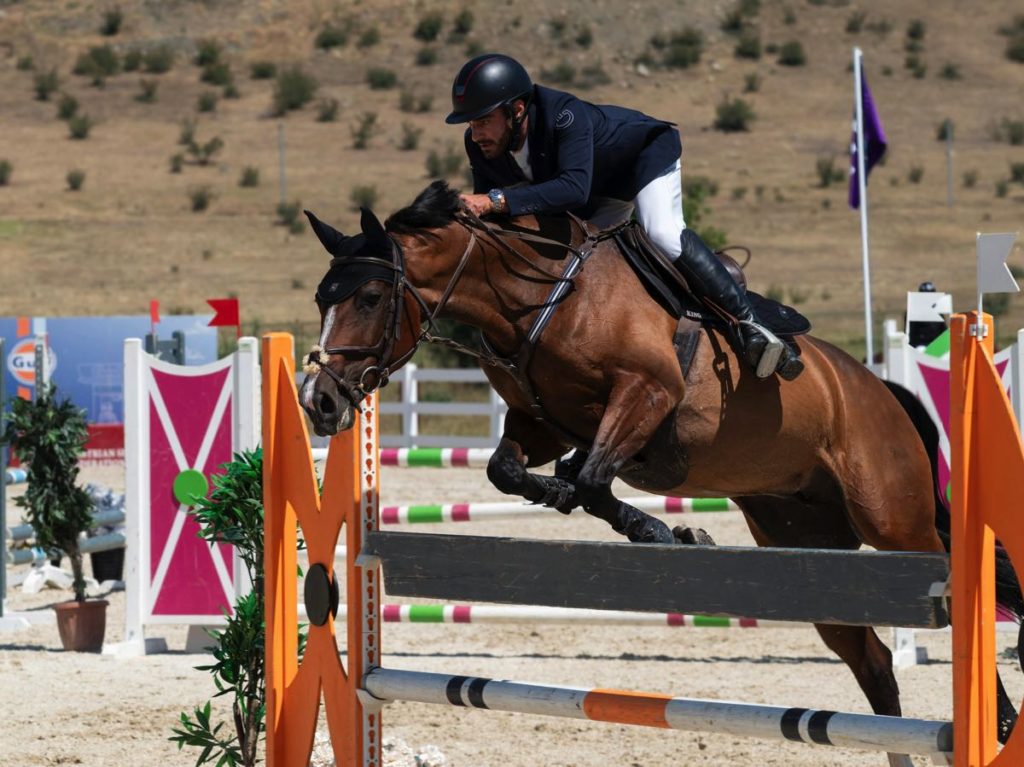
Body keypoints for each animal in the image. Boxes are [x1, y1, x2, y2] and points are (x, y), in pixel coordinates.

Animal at [298, 180, 1023, 762]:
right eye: (320, 297)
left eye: (370, 295)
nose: (319, 401)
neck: (539, 295)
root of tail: (877, 388)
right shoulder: (540, 421)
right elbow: (517, 471)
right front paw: (644, 522)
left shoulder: (645, 394)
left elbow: (594, 478)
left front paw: (667, 531)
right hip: (810, 545)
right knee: (871, 660)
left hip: (893, 520)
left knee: (952, 591)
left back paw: (999, 722)